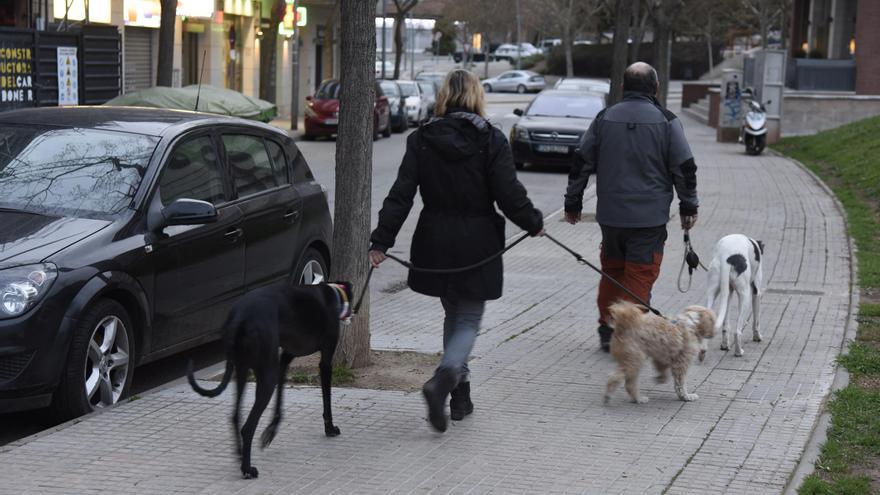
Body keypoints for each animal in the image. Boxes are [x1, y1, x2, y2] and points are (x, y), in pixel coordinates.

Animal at [187, 280, 352, 478]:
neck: (334, 293)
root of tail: (240, 316)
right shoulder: (325, 360)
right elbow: (327, 399)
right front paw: (330, 428)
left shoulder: (285, 359)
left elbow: (280, 399)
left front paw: (271, 430)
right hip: (266, 375)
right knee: (248, 427)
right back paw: (247, 469)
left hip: (243, 369)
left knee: (235, 415)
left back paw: (240, 454)